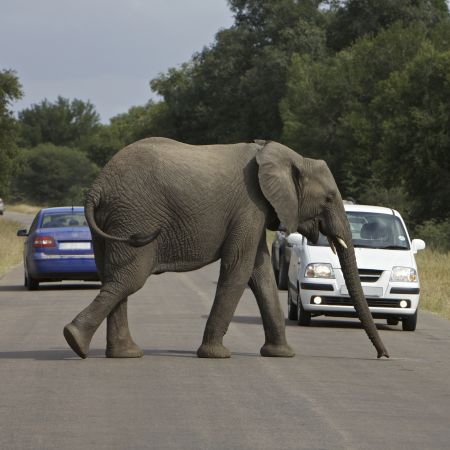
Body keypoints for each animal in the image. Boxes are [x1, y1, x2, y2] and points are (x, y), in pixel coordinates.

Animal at [64, 137, 390, 358]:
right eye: (329, 198)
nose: (383, 355)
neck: (285, 155)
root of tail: (97, 188)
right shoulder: (250, 205)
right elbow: (239, 268)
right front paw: (216, 355)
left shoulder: (256, 211)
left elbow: (261, 274)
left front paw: (281, 354)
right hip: (134, 217)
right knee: (129, 278)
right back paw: (75, 341)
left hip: (113, 221)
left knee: (113, 277)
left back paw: (119, 352)